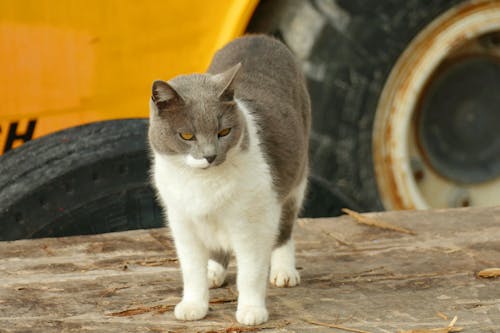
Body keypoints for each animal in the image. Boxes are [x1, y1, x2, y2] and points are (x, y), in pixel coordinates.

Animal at [148, 34, 310, 324]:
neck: (202, 182)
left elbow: (251, 272)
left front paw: (252, 311)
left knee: (284, 229)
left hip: (295, 182)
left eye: (224, 132)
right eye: (187, 135)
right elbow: (191, 269)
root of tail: (260, 37)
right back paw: (213, 272)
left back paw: (283, 271)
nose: (210, 155)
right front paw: (193, 305)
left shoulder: (253, 224)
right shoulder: (183, 222)